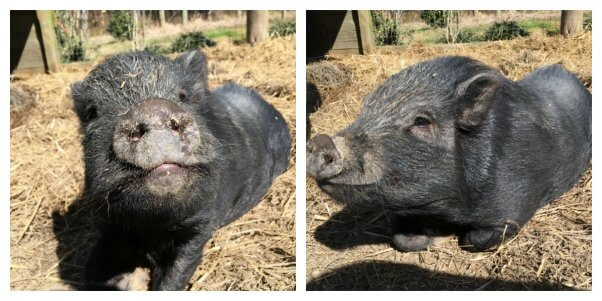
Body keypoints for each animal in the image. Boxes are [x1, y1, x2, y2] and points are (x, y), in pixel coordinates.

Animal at [71, 50, 292, 290]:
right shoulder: (109, 224)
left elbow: (176, 273)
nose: (152, 108)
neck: (153, 225)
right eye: (93, 112)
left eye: (183, 96)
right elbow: (92, 268)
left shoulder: (200, 223)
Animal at [308, 55, 588, 251]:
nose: (321, 141)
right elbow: (399, 237)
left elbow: (475, 239)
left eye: (421, 121)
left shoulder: (515, 205)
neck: (447, 209)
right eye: (365, 111)